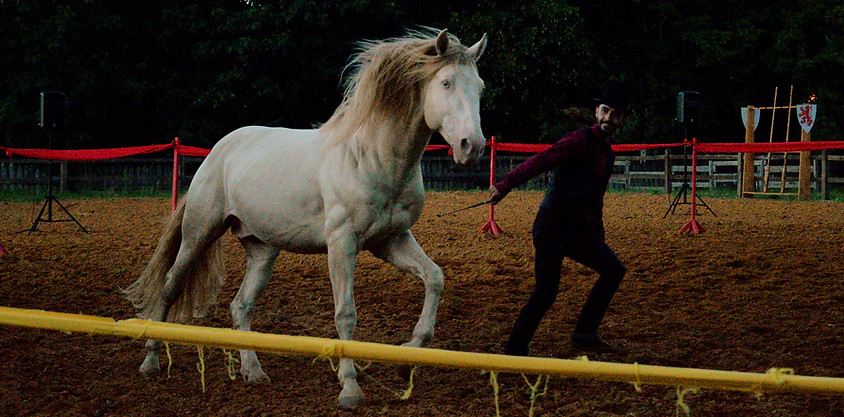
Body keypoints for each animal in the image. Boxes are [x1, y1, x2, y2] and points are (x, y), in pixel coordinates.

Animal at [123, 28, 488, 409]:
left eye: (479, 86)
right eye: (446, 82)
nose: (472, 146)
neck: (372, 158)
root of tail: (217, 152)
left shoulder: (391, 240)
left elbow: (435, 278)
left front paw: (407, 360)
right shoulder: (342, 243)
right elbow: (346, 314)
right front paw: (350, 389)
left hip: (262, 250)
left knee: (241, 306)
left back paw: (254, 372)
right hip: (199, 234)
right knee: (169, 287)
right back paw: (150, 362)